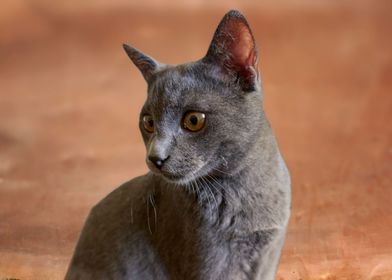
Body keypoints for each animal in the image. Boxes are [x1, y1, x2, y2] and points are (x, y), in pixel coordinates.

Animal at [65, 9, 290, 278]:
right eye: (148, 122)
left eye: (194, 120)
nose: (155, 157)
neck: (243, 187)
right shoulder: (212, 264)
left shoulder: (269, 257)